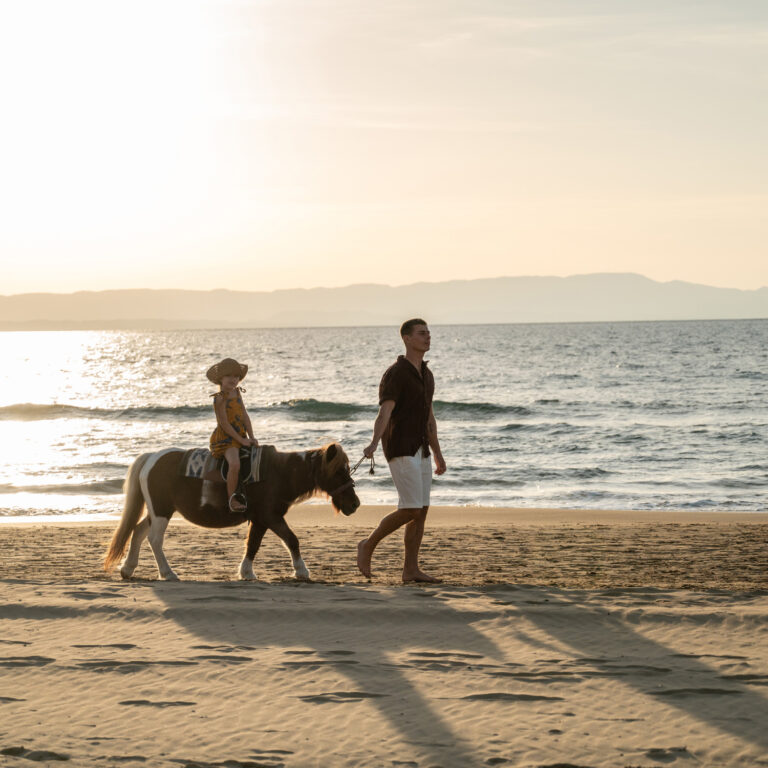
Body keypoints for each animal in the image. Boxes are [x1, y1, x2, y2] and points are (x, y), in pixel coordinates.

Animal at [104, 442, 360, 581]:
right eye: (339, 471)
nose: (355, 504)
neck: (280, 472)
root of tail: (152, 458)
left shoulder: (260, 519)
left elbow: (253, 544)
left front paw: (246, 572)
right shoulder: (270, 516)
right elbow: (291, 540)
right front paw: (301, 571)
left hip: (157, 510)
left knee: (137, 532)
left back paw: (128, 569)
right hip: (161, 511)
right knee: (154, 539)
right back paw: (168, 573)